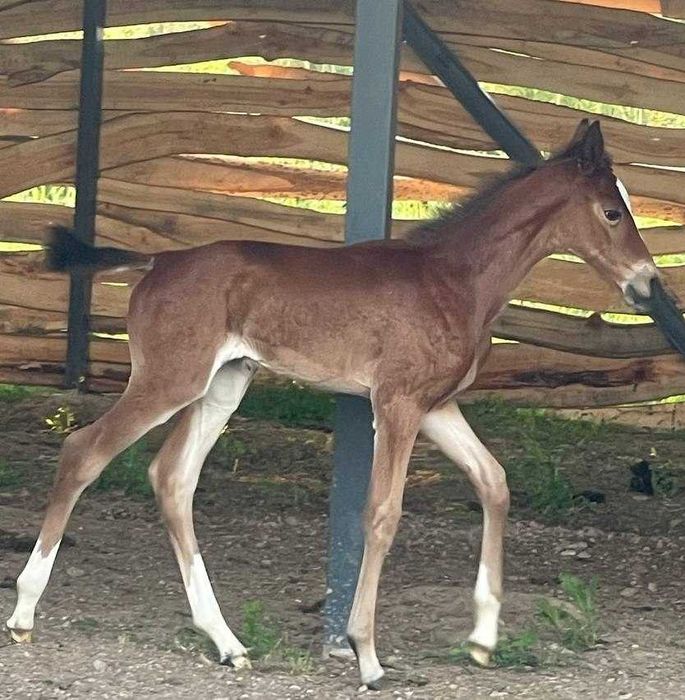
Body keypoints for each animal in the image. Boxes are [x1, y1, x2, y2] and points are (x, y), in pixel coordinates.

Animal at [7, 119, 685, 689]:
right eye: (611, 212)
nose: (648, 282)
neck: (455, 279)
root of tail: (159, 258)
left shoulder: (437, 407)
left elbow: (493, 482)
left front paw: (483, 638)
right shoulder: (398, 403)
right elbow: (382, 514)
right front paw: (366, 655)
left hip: (224, 383)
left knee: (171, 477)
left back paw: (228, 643)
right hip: (170, 379)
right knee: (83, 450)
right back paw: (23, 613)